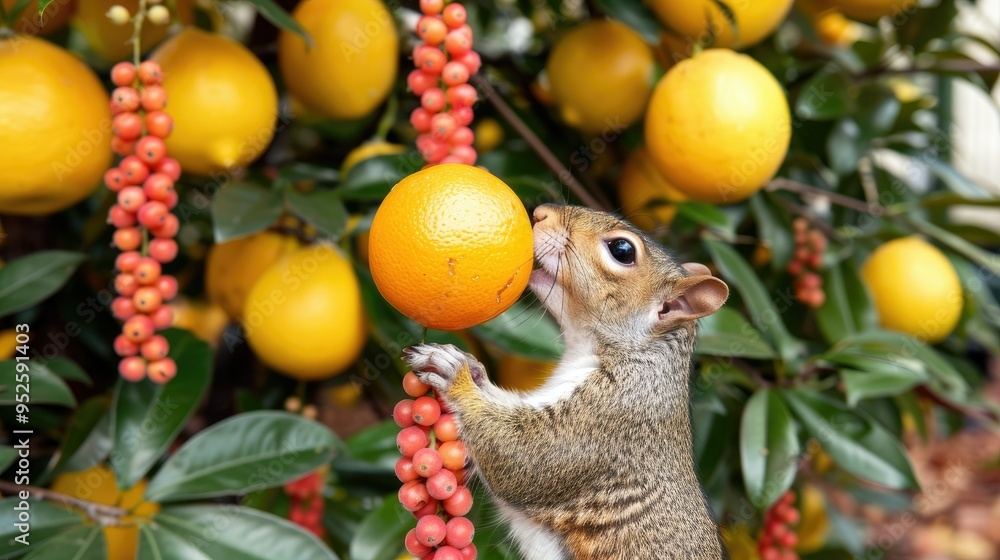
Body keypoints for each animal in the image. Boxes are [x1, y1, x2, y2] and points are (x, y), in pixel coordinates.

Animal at [405, 203, 730, 560]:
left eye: (622, 250)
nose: (541, 213)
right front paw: (474, 371)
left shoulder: (609, 418)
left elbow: (518, 456)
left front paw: (456, 375)